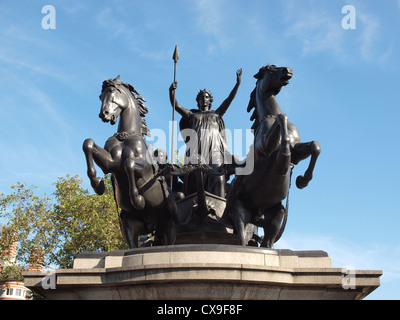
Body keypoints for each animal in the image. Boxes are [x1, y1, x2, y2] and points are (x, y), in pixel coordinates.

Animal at [83, 76, 177, 249]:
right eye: (100, 96)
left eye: (111, 91)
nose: (104, 114)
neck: (125, 136)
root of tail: (151, 226)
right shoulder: (110, 163)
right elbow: (88, 143)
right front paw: (98, 184)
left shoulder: (145, 169)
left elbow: (129, 164)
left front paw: (138, 200)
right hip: (128, 225)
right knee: (133, 244)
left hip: (170, 224)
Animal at [225, 65, 322, 249]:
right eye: (270, 69)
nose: (288, 70)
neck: (268, 116)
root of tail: (257, 215)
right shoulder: (265, 149)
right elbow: (282, 118)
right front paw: (286, 160)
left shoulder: (297, 151)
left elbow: (315, 146)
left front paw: (302, 180)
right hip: (239, 212)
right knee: (242, 239)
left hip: (276, 217)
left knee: (268, 244)